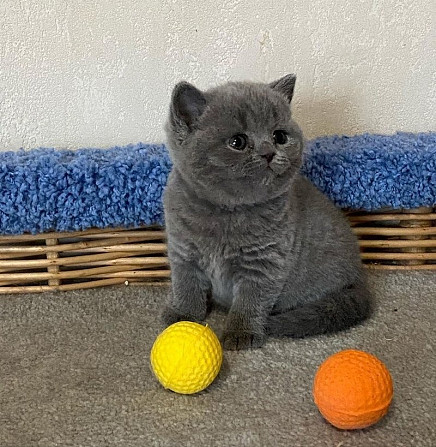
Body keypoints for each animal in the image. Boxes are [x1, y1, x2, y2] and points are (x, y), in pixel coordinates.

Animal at [162, 75, 372, 352]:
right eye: (237, 142)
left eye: (279, 136)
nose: (269, 152)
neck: (227, 211)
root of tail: (359, 277)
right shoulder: (183, 252)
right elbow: (186, 286)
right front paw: (183, 316)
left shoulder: (264, 262)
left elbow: (250, 300)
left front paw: (241, 332)